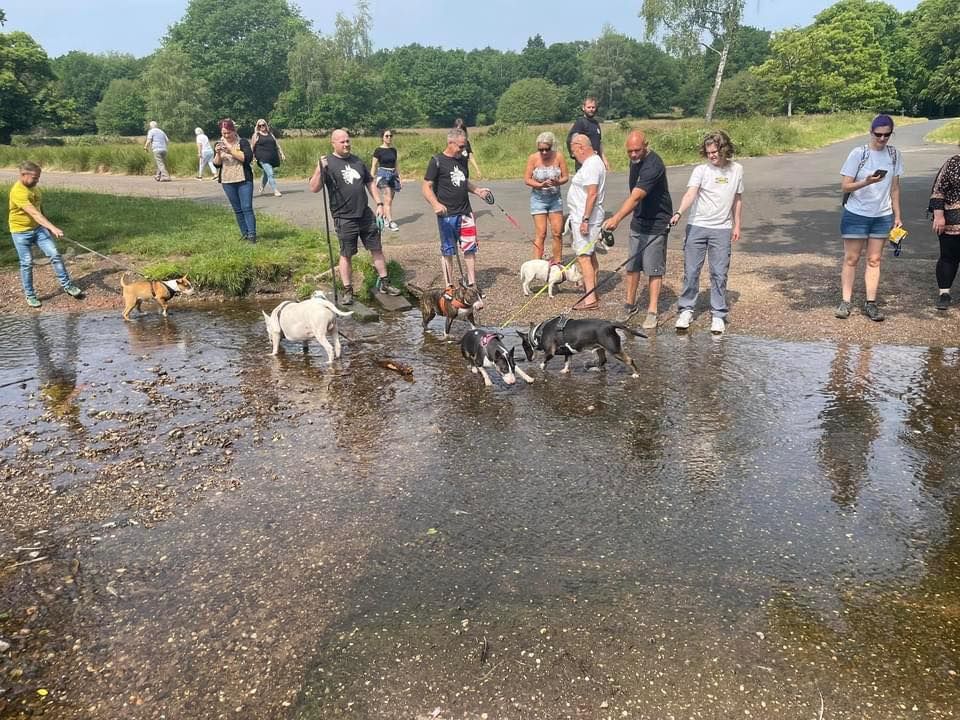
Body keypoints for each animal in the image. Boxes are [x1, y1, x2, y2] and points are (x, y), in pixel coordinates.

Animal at [516, 318, 644, 380]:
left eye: (525, 346)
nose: (528, 360)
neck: (539, 333)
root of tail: (611, 325)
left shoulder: (550, 352)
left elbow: (544, 361)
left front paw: (542, 368)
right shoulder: (568, 352)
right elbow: (567, 362)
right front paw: (565, 371)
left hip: (614, 350)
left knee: (629, 360)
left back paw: (636, 374)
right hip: (600, 349)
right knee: (603, 361)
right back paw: (594, 368)